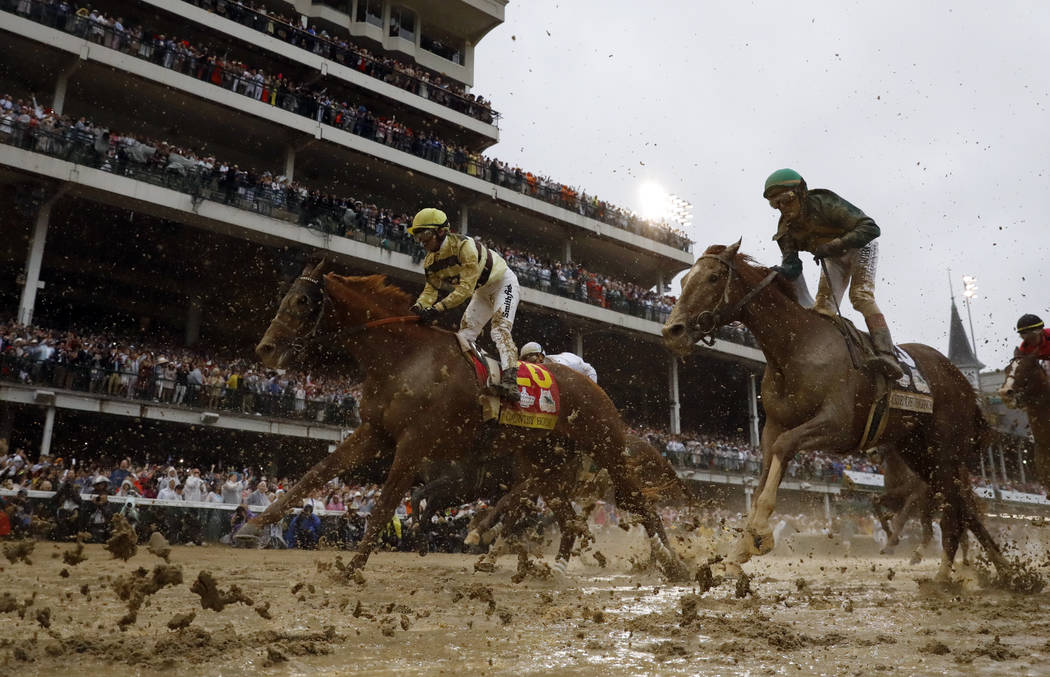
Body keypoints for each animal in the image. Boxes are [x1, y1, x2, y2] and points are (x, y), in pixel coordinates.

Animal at [246, 259, 688, 575]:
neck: (404, 359)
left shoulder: (415, 443)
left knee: (637, 503)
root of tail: (593, 387)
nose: (265, 348)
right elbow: (316, 474)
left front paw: (353, 566)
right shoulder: (376, 432)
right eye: (284, 298)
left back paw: (673, 562)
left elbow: (387, 502)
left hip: (604, 448)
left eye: (302, 302)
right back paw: (554, 564)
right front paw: (256, 524)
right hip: (546, 465)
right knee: (567, 518)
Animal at [659, 240, 1012, 579]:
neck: (796, 347)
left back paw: (947, 574)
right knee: (964, 508)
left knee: (955, 509)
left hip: (946, 449)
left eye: (714, 277)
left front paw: (760, 534)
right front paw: (737, 554)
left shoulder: (838, 426)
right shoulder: (774, 425)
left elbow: (784, 447)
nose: (672, 331)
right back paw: (1004, 572)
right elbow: (764, 474)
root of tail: (964, 383)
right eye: (684, 280)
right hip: (918, 452)